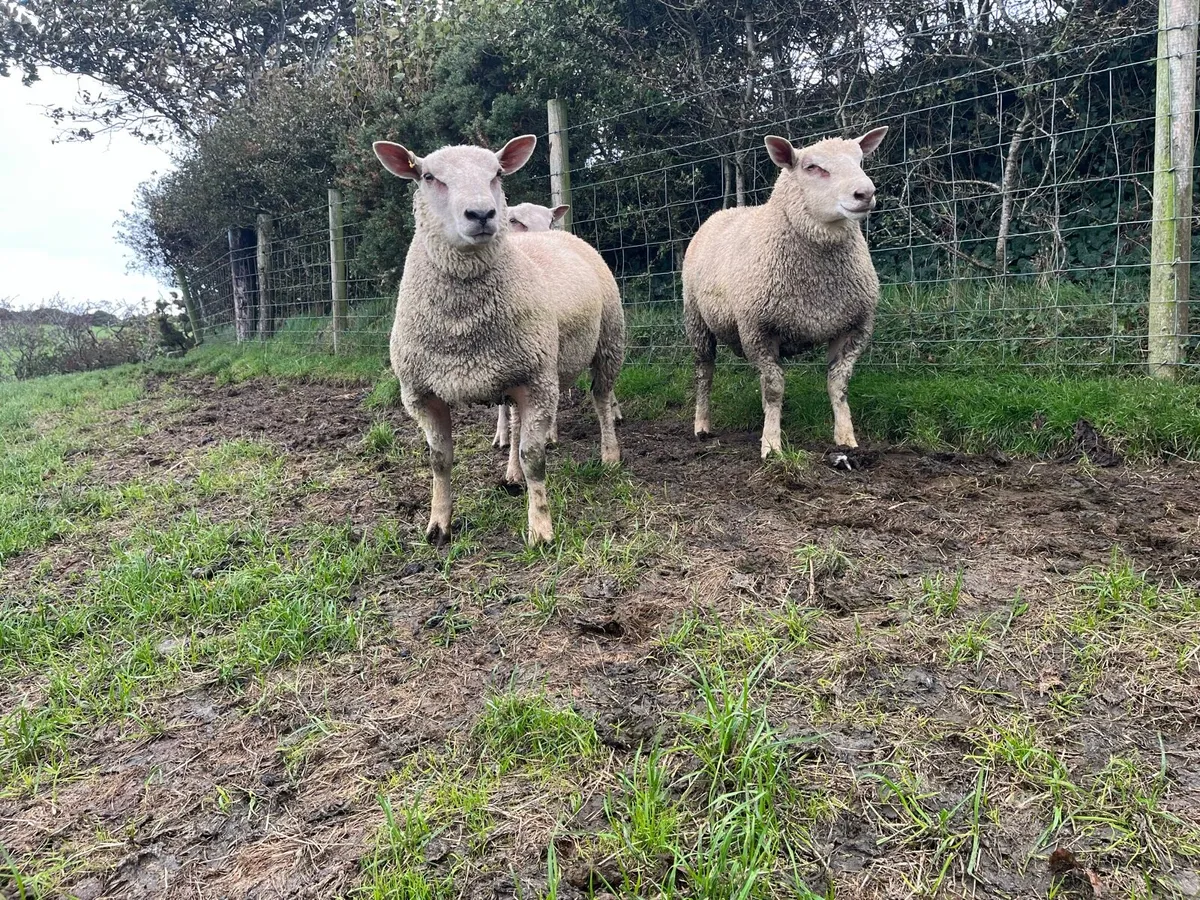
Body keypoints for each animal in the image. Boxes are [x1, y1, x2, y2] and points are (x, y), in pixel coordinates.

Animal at [372, 135, 622, 546]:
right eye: (428, 176)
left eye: (498, 174)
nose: (482, 213)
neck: (462, 329)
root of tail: (557, 234)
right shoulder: (422, 395)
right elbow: (439, 460)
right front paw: (438, 525)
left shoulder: (537, 382)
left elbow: (534, 457)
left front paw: (541, 530)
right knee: (519, 421)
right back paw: (512, 476)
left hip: (608, 341)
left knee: (601, 398)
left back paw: (610, 455)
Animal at [682, 127, 889, 459]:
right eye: (812, 167)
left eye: (860, 160)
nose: (865, 194)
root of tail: (726, 210)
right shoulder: (757, 330)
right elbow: (774, 388)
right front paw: (771, 446)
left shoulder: (855, 328)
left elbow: (838, 386)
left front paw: (846, 439)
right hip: (696, 319)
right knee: (705, 372)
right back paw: (702, 425)